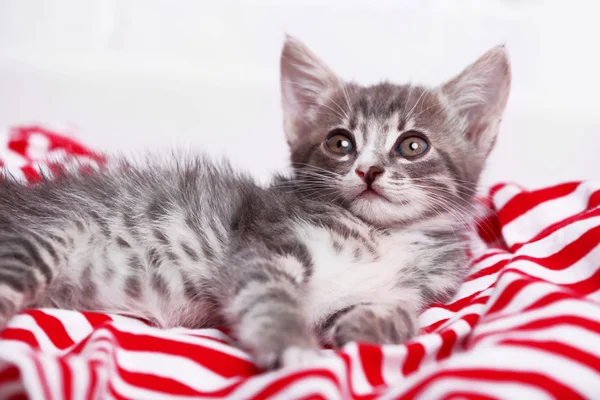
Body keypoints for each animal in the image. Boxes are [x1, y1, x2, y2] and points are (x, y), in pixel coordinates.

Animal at [0, 36, 508, 368]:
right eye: (340, 143)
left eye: (412, 146)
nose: (368, 171)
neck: (380, 235)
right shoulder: (266, 241)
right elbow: (268, 297)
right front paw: (293, 348)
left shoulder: (417, 288)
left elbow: (399, 310)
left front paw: (370, 326)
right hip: (43, 238)